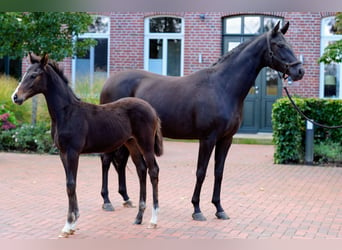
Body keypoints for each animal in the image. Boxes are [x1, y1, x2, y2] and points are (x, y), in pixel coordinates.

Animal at [11, 53, 164, 237]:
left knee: (153, 171)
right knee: (141, 170)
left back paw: (153, 220)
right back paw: (139, 217)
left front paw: (68, 225)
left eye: (34, 75)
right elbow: (70, 183)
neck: (66, 113)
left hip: (145, 143)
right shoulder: (62, 153)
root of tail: (152, 109)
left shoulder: (73, 152)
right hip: (132, 143)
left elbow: (71, 184)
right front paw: (73, 224)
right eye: (25, 74)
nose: (15, 97)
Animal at [99, 22, 304, 221]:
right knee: (107, 159)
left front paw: (219, 209)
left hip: (130, 137)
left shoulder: (226, 139)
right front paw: (197, 209)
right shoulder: (207, 139)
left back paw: (126, 198)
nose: (299, 71)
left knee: (121, 161)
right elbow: (201, 171)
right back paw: (107, 201)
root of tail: (108, 82)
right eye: (280, 45)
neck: (222, 87)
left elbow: (218, 172)